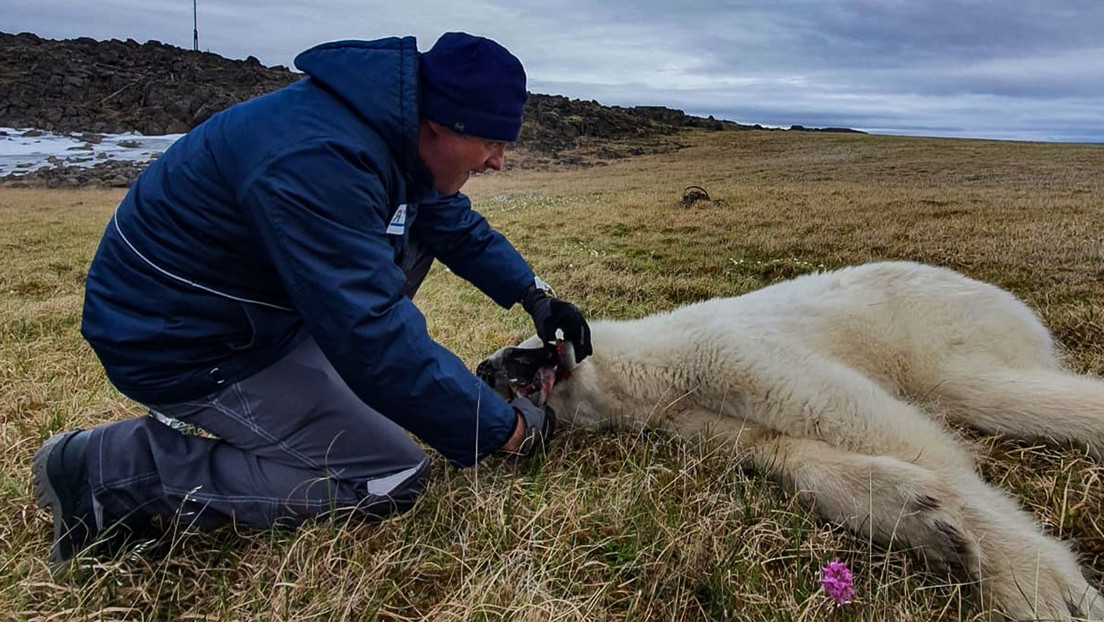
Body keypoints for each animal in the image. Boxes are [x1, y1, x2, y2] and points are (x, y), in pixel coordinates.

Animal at [479, 262, 1104, 622]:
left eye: (519, 349)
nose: (485, 367)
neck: (648, 370)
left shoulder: (724, 351)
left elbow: (860, 418)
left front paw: (1043, 587)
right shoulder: (697, 418)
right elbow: (786, 451)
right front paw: (924, 518)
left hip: (937, 326)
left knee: (983, 386)